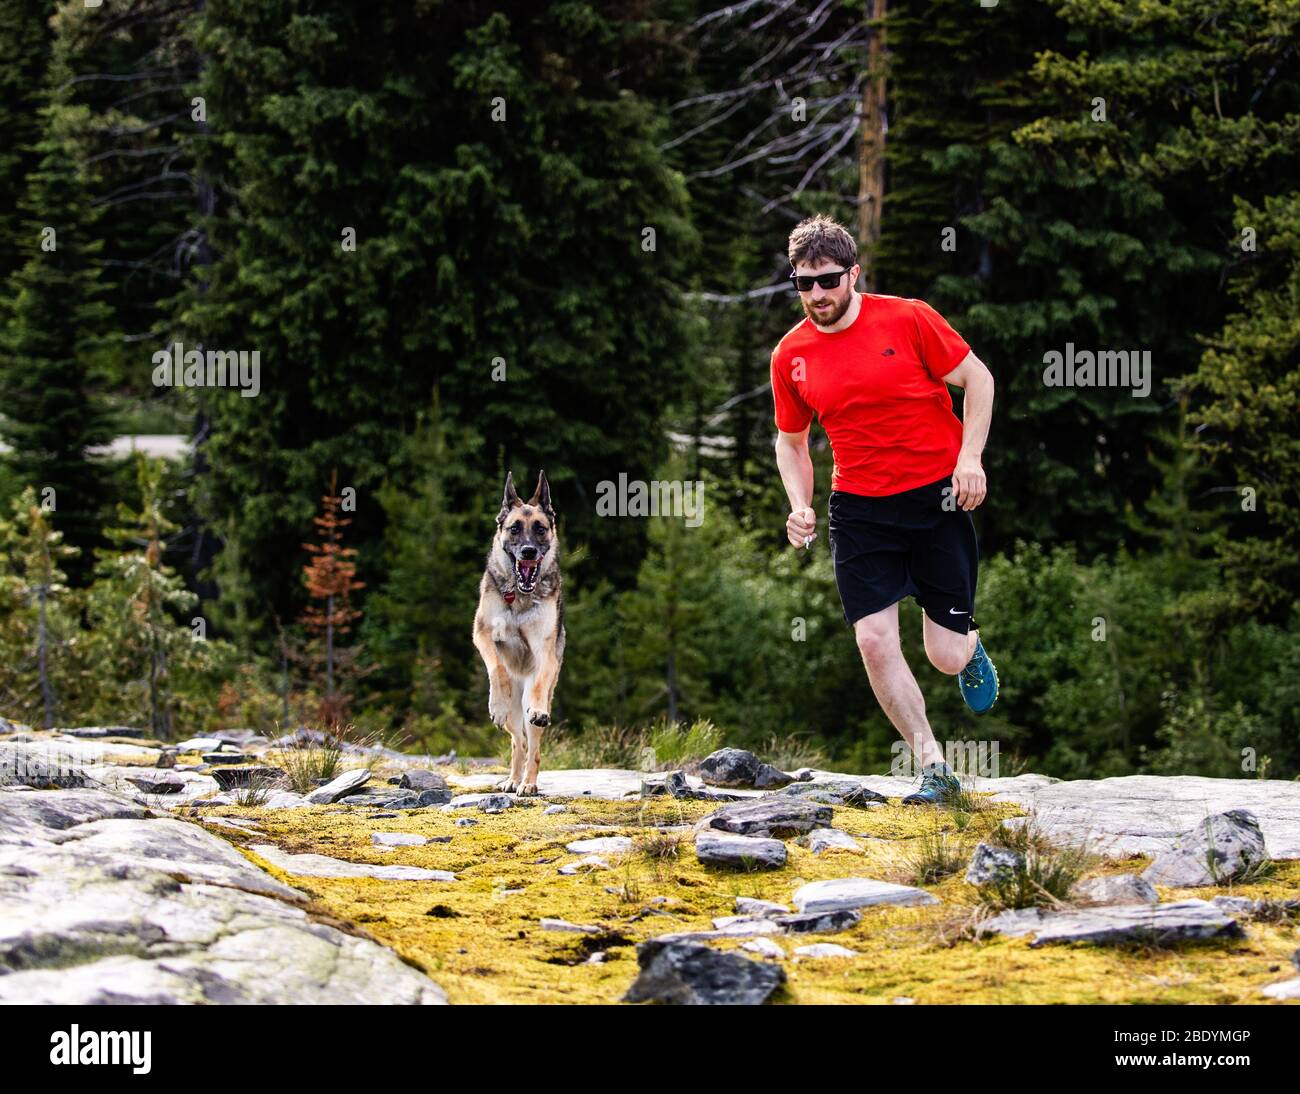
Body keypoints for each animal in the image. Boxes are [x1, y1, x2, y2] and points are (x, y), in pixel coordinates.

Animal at [473, 467, 564, 795]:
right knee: (517, 743)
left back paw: (528, 783)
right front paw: (496, 703)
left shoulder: (544, 651)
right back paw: (513, 779)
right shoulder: (483, 634)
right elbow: (497, 667)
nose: (527, 551)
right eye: (514, 528)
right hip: (513, 717)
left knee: (532, 745)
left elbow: (537, 686)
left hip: (529, 709)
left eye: (540, 528)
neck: (519, 597)